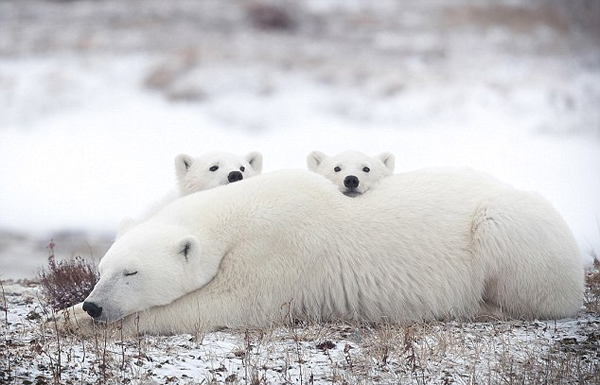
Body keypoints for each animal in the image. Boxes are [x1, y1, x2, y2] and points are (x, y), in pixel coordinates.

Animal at [59, 168, 580, 332]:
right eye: (102, 270)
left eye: (132, 273)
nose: (96, 306)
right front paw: (63, 317)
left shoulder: (279, 250)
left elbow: (225, 305)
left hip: (507, 227)